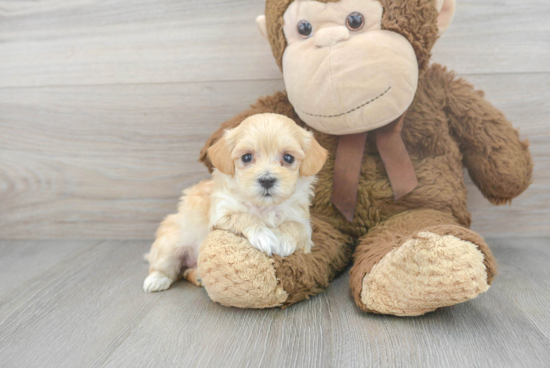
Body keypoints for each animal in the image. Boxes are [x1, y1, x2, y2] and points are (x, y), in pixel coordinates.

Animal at [144, 113, 330, 292]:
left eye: (288, 158)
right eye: (246, 157)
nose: (267, 180)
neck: (263, 207)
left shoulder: (303, 222)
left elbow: (295, 227)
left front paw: (284, 239)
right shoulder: (220, 215)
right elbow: (244, 216)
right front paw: (263, 235)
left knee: (186, 271)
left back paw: (198, 276)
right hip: (170, 243)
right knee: (164, 266)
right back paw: (156, 280)